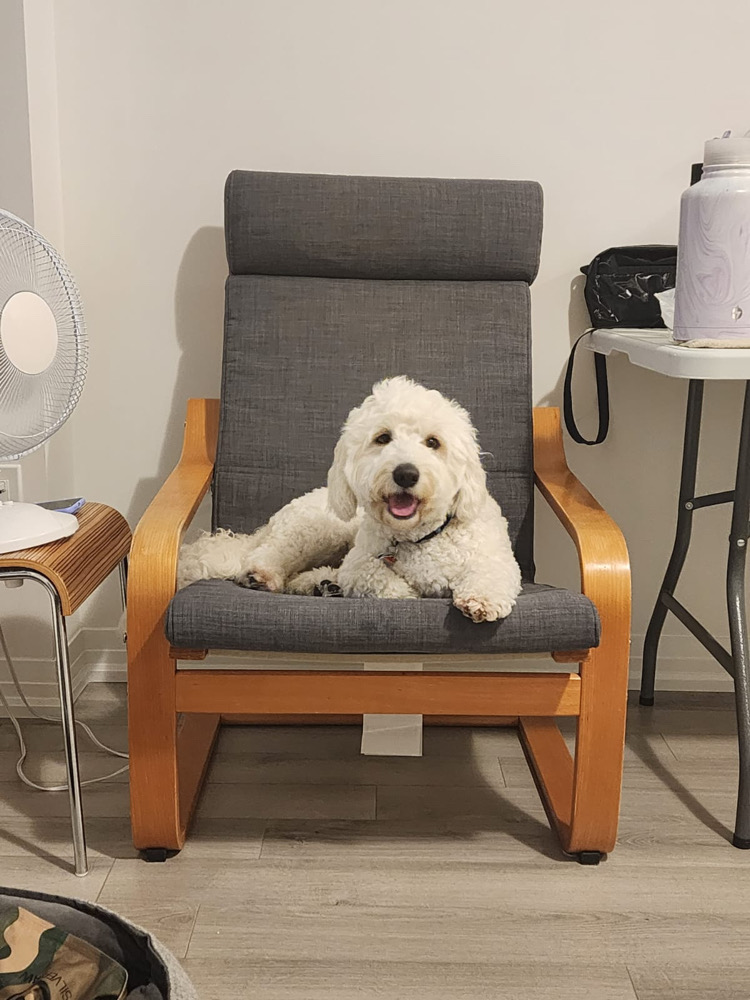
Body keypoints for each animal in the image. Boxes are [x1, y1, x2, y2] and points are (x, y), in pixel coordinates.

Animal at [178, 377, 521, 622]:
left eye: (433, 442)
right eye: (383, 438)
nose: (406, 474)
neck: (419, 538)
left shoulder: (495, 560)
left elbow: (491, 575)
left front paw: (480, 600)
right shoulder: (361, 563)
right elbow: (381, 580)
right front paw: (409, 590)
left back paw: (321, 583)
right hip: (317, 528)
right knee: (269, 556)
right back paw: (264, 576)